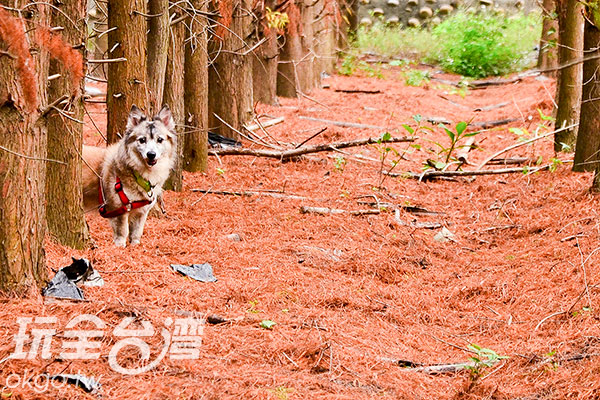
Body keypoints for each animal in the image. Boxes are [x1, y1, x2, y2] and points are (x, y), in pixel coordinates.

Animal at [82, 103, 176, 247]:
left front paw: (134, 246)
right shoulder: (119, 210)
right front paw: (120, 247)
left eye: (160, 140)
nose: (151, 154)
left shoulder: (141, 213)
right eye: (142, 140)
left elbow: (136, 233)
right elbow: (122, 232)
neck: (139, 175)